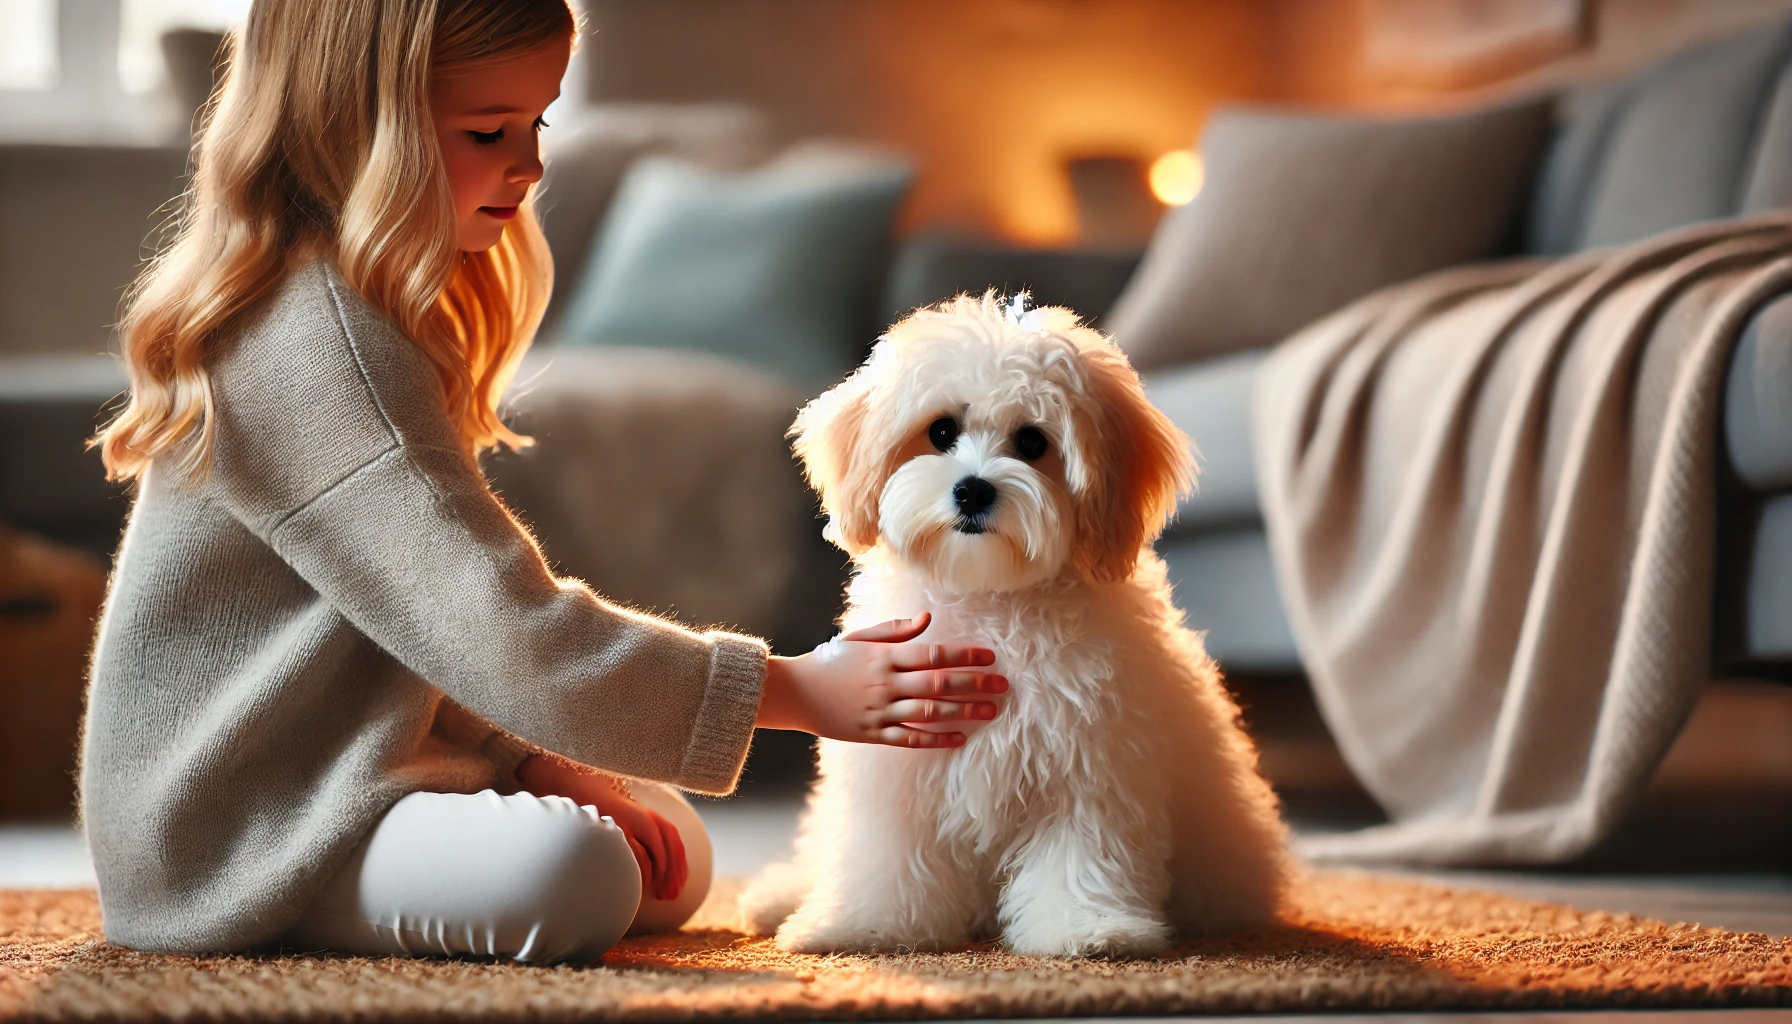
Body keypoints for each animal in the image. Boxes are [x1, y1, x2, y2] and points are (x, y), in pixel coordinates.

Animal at [734, 292, 1297, 961]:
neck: (991, 600)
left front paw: (1086, 928)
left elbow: (1082, 849)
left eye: (1033, 441)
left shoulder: (1093, 760)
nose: (973, 490)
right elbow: (888, 850)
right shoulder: (900, 764)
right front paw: (870, 924)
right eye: (941, 431)